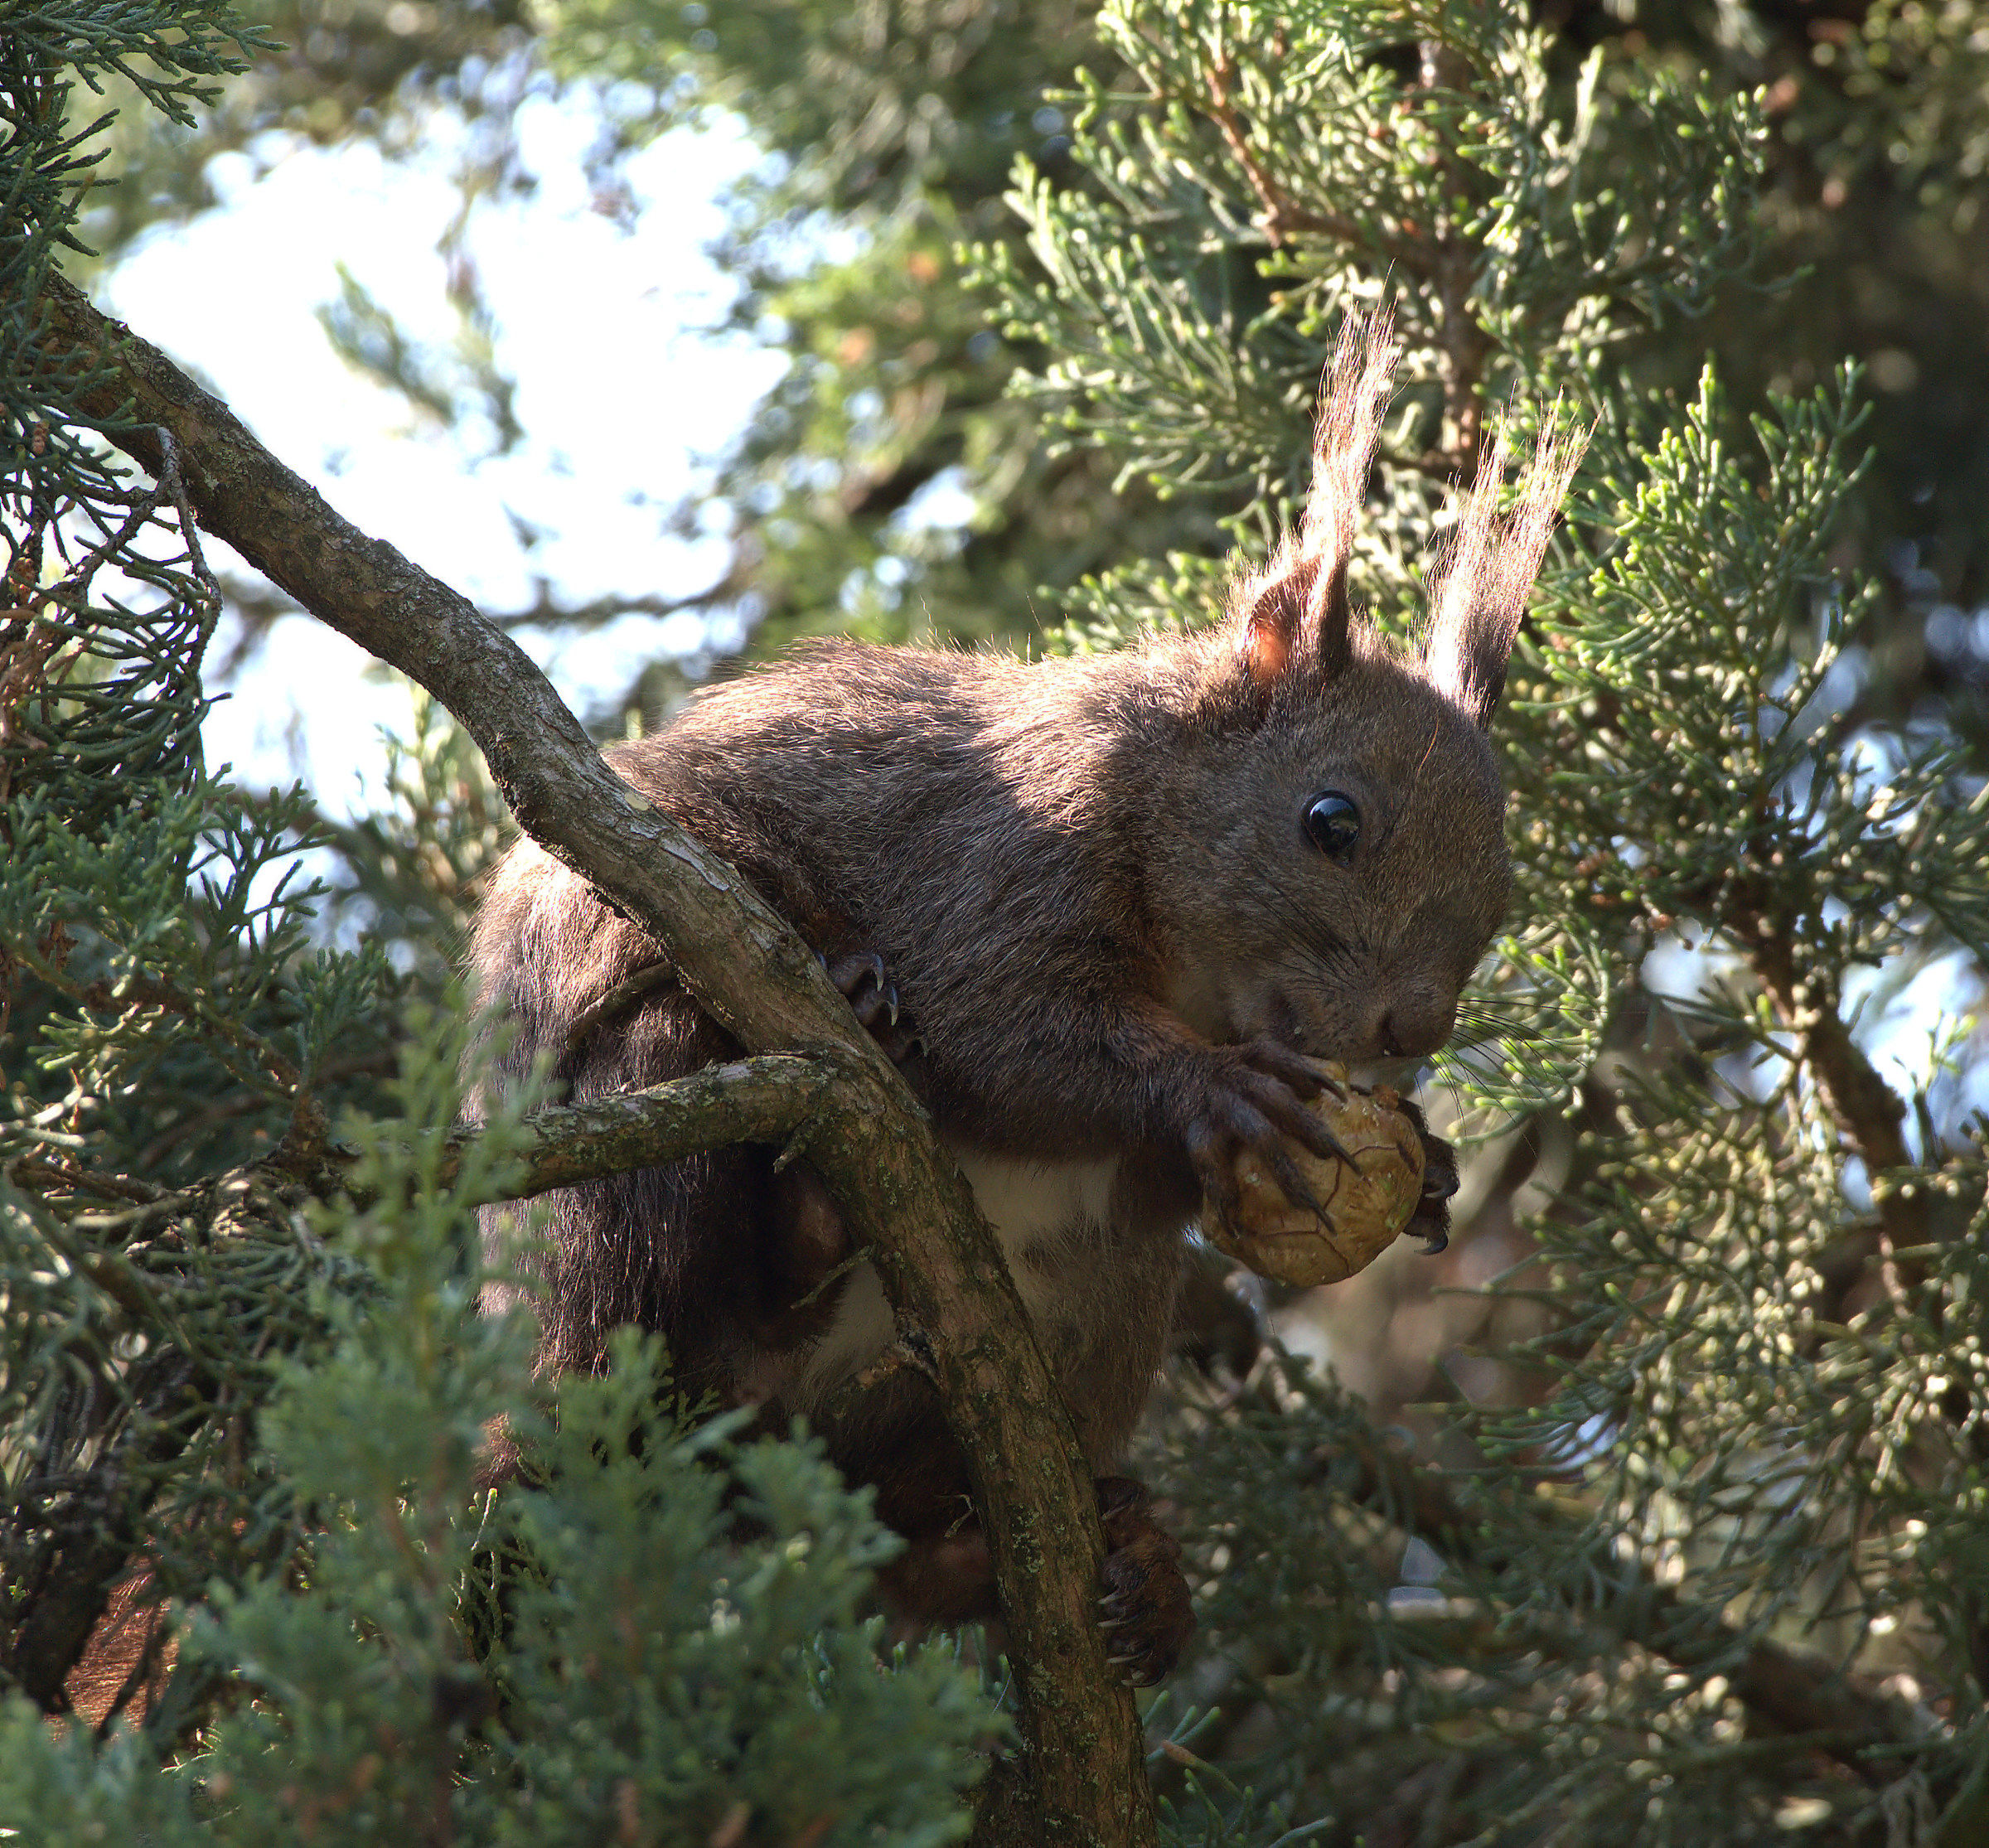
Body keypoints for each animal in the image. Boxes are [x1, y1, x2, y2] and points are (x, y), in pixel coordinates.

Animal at [467, 311, 1580, 1683]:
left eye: (1503, 887)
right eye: (1333, 819)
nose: (1416, 1030)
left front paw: (1425, 1163)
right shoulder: (999, 858)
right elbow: (998, 1036)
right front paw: (1215, 1086)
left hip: (1074, 1318)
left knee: (904, 1518)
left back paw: (1087, 1566)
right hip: (628, 1160)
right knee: (674, 1321)